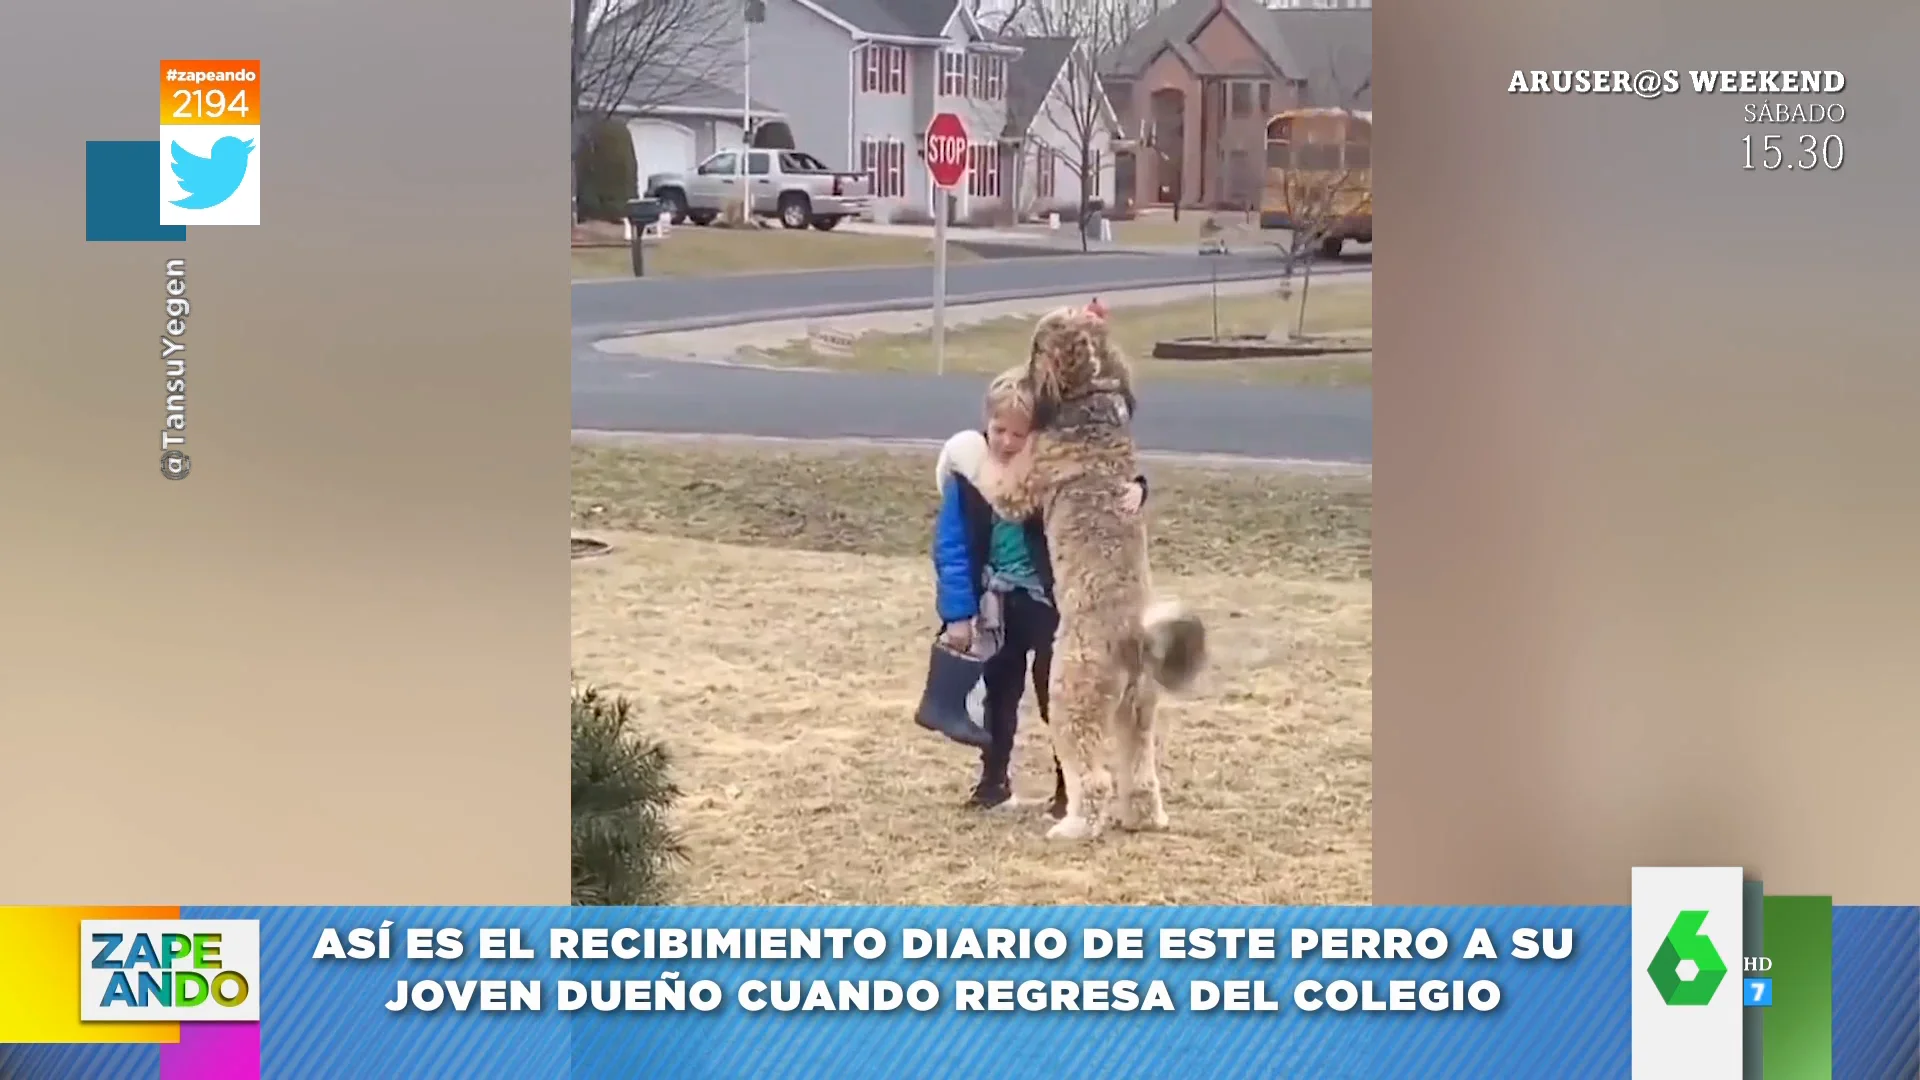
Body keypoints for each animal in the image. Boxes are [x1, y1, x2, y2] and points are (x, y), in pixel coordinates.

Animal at [983, 307, 1205, 837]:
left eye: (1037, 347)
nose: (1024, 377)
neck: (1092, 398)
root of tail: (1137, 640)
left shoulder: (1025, 480)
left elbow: (998, 478)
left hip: (1071, 697)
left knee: (1092, 775)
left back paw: (1075, 826)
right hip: (1137, 709)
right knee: (1140, 773)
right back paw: (1142, 818)